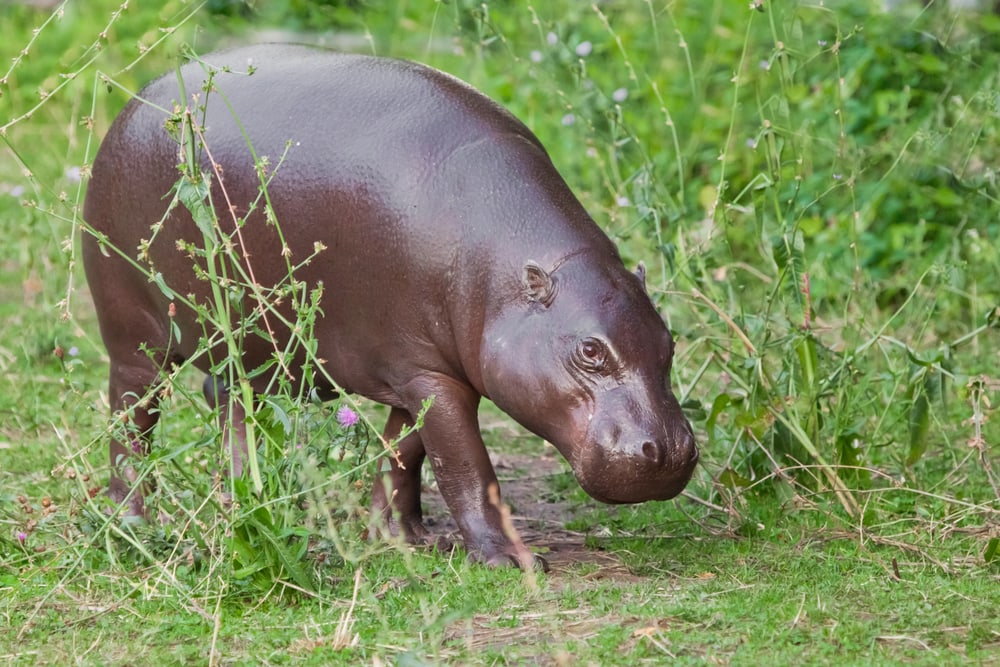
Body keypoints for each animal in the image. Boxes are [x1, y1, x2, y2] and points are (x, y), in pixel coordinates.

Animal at [82, 44, 698, 567]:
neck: (507, 270)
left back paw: (243, 500)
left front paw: (398, 537)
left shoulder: (422, 369)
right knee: (131, 422)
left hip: (249, 350)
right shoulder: (431, 375)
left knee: (231, 406)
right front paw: (511, 561)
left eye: (670, 342)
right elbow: (466, 468)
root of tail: (136, 101)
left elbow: (406, 455)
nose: (668, 451)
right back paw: (136, 526)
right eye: (590, 351)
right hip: (133, 337)